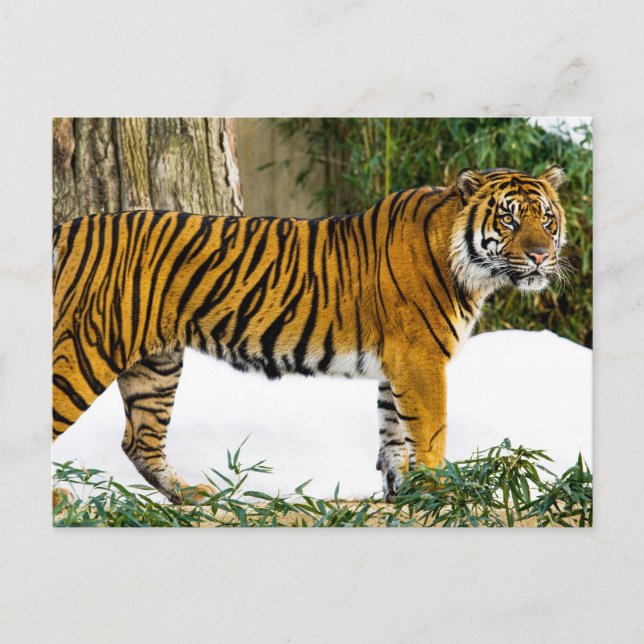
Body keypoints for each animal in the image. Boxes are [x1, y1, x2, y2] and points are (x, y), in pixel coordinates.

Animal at [52, 165, 567, 504]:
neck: (473, 270)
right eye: (508, 219)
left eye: (546, 218)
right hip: (84, 352)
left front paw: (403, 495)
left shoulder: (397, 364)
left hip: (156, 364)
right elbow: (431, 433)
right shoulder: (420, 360)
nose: (541, 256)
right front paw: (441, 494)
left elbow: (393, 434)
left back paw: (192, 495)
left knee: (140, 440)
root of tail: (66, 227)